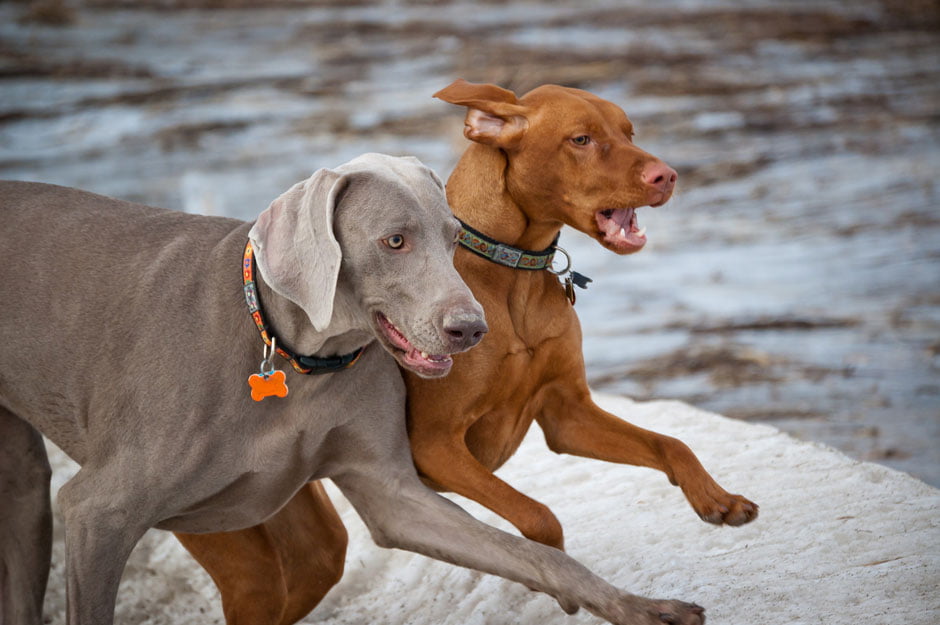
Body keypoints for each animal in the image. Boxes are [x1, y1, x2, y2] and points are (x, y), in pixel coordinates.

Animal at [0, 152, 704, 624]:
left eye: (455, 239)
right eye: (394, 240)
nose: (471, 330)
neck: (297, 362)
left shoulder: (394, 493)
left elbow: (529, 551)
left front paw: (636, 605)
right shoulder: (98, 512)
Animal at [180, 80, 760, 620]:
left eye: (629, 132)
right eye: (581, 139)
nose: (668, 175)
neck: (512, 275)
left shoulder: (567, 416)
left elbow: (671, 444)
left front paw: (718, 499)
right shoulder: (436, 448)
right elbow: (539, 517)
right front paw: (558, 583)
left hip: (306, 539)